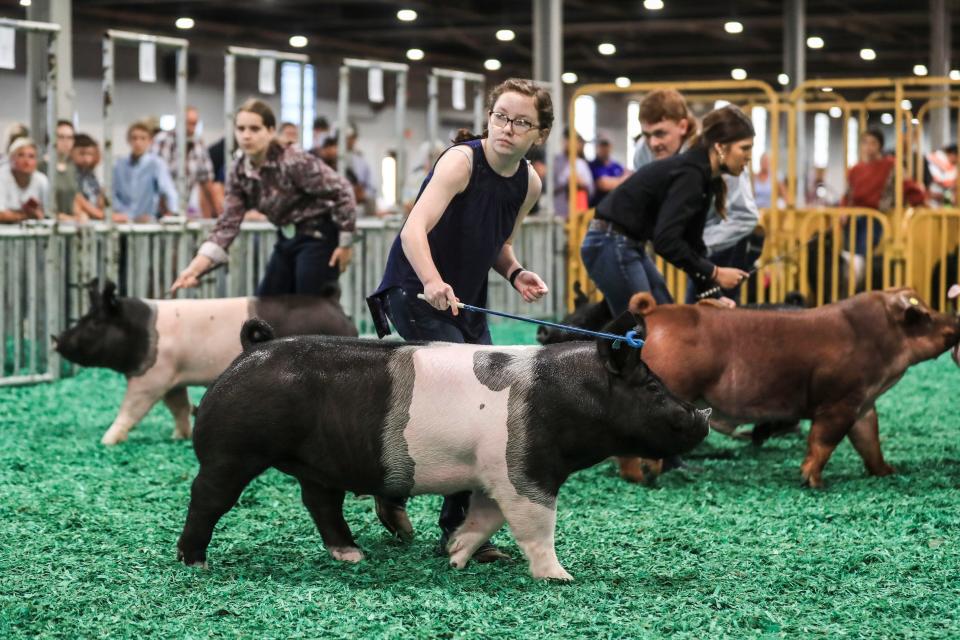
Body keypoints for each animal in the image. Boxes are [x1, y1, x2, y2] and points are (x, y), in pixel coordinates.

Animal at [53, 280, 360, 444]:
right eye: (84, 317)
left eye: (94, 322)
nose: (56, 338)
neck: (142, 332)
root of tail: (332, 301)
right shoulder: (173, 379)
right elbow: (177, 406)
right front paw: (179, 436)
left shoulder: (152, 377)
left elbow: (131, 409)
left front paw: (106, 441)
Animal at [176, 312, 708, 584]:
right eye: (652, 387)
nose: (701, 416)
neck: (565, 400)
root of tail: (250, 350)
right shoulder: (525, 472)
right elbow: (537, 526)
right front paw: (561, 578)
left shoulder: (496, 476)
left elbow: (483, 519)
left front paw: (456, 557)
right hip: (231, 451)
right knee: (207, 497)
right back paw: (194, 562)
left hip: (316, 462)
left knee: (320, 501)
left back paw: (354, 556)